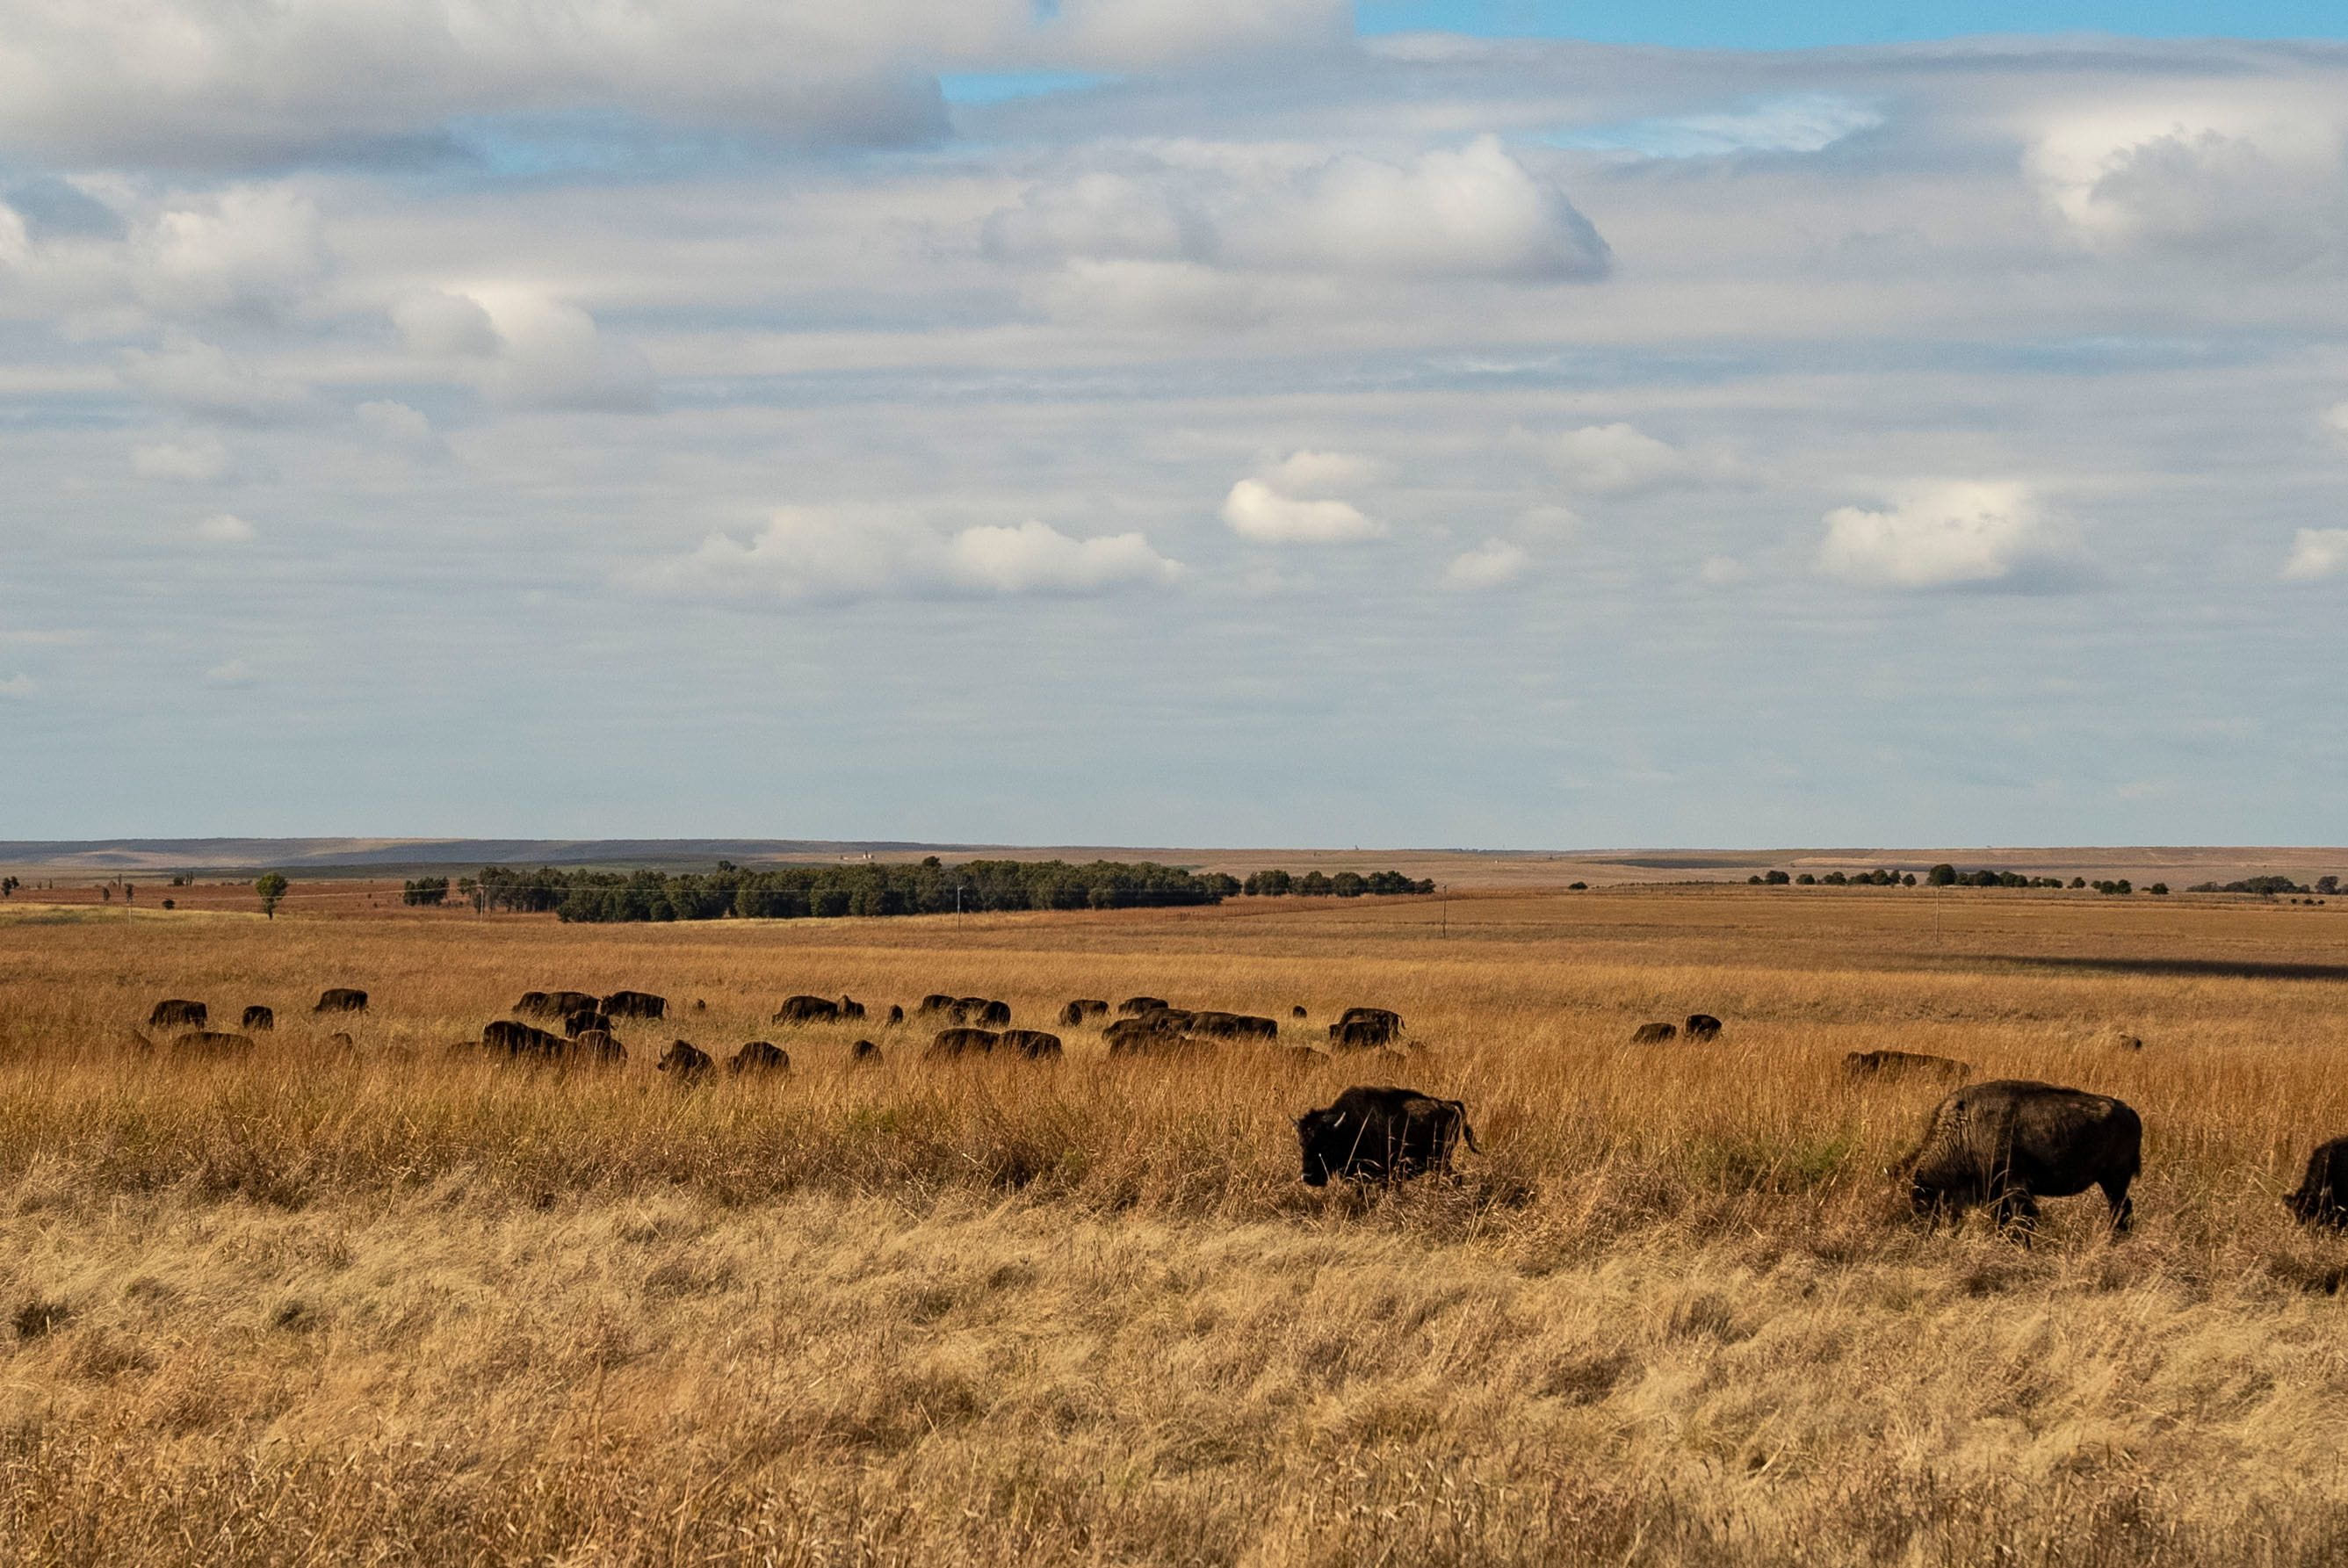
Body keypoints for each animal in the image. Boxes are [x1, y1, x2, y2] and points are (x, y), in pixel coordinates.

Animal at [1296, 1086, 1479, 1186]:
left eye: (1326, 1144)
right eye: (1302, 1144)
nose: (1308, 1177)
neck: (1350, 1126)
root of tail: (1449, 1106)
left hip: (1440, 1161)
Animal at [1900, 1079, 2141, 1240]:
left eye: (1926, 1201)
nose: (1927, 1232)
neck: (1964, 1129)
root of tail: (2129, 1111)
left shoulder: (2014, 1186)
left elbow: (2022, 1220)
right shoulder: (1998, 1193)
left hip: (2114, 1180)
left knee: (2121, 1208)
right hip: (2111, 1181)